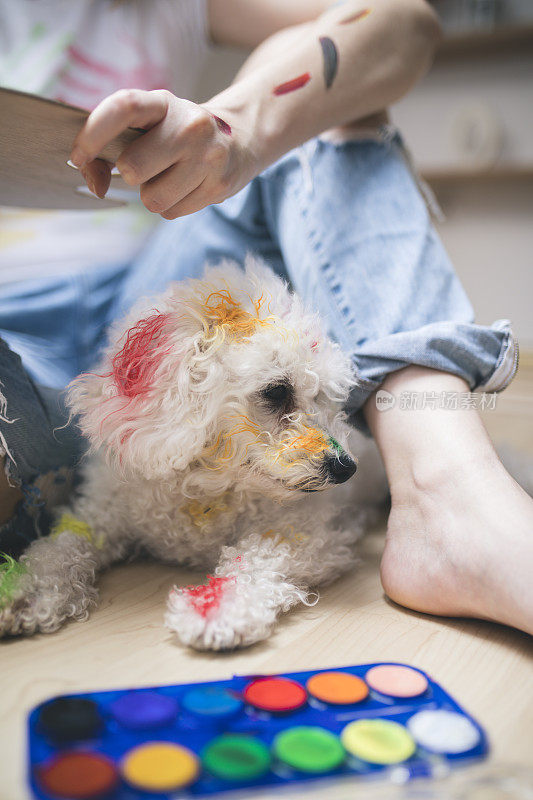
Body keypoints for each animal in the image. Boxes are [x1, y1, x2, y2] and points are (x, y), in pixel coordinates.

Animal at [2, 258, 384, 648]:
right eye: (277, 391)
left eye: (323, 397)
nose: (345, 467)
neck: (202, 493)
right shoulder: (100, 513)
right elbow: (59, 548)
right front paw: (25, 591)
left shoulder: (308, 531)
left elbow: (258, 558)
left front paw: (219, 609)